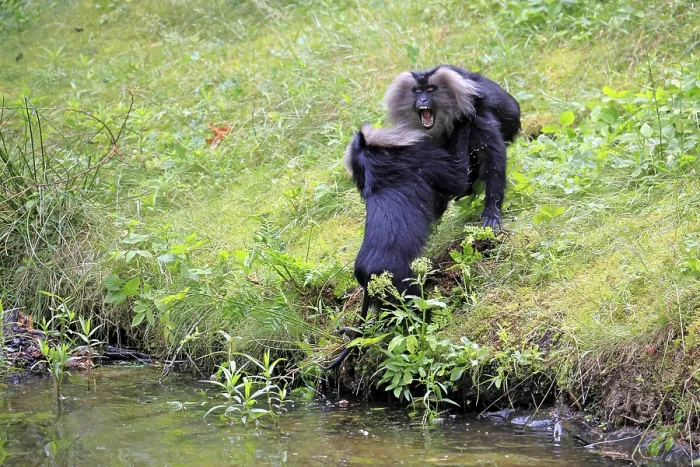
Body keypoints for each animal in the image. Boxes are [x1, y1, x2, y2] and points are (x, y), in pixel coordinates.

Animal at [384, 64, 521, 231]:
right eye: (417, 91)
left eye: (430, 90)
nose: (422, 99)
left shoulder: (475, 114)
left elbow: (492, 158)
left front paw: (492, 211)